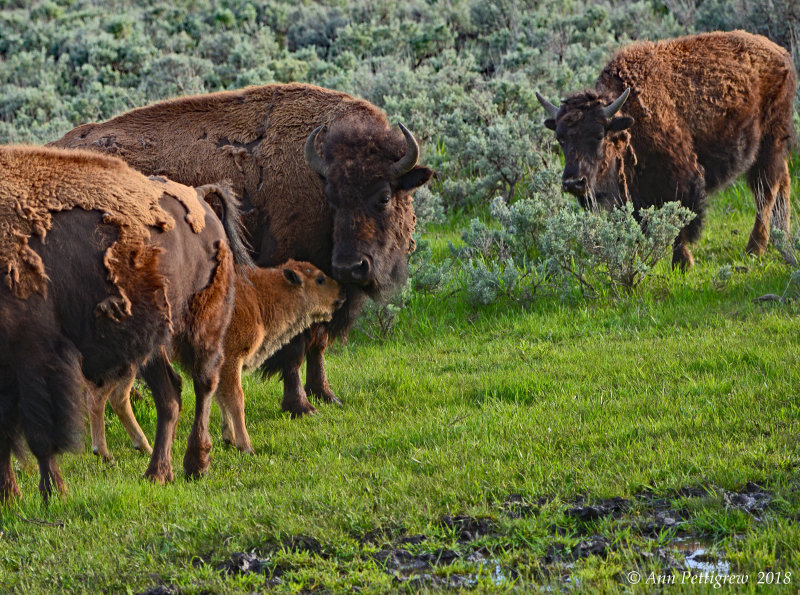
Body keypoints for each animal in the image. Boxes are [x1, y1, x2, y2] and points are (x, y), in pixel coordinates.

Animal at [0, 146, 250, 502]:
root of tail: (199, 195)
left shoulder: (35, 357)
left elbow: (38, 435)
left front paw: (52, 494)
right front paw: (10, 495)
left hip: (200, 324)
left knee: (203, 384)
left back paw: (194, 465)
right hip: (153, 341)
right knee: (170, 395)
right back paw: (158, 473)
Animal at [50, 82, 434, 420]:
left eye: (384, 196)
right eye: (333, 197)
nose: (350, 266)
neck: (316, 174)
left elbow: (318, 342)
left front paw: (326, 395)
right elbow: (295, 348)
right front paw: (300, 406)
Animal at [92, 258, 342, 458]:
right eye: (320, 279)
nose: (342, 293)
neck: (258, 296)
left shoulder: (220, 366)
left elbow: (222, 398)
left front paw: (228, 438)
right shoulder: (232, 360)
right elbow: (236, 399)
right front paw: (246, 447)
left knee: (116, 397)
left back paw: (143, 447)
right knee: (103, 395)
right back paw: (104, 453)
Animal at [536, 30, 792, 268]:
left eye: (599, 135)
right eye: (560, 138)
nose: (573, 183)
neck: (628, 121)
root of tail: (781, 53)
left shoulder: (682, 181)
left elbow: (679, 223)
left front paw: (682, 263)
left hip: (769, 142)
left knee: (766, 190)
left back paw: (755, 249)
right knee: (782, 181)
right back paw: (783, 239)